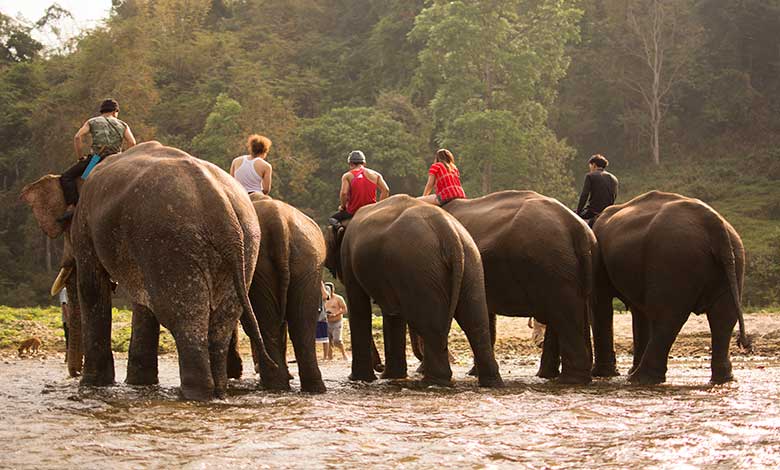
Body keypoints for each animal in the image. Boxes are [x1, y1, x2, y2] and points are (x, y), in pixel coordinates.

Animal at [21, 140, 276, 400]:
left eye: (64, 224)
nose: (72, 374)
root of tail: (222, 209)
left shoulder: (87, 225)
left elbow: (92, 287)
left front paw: (94, 385)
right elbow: (142, 300)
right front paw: (138, 384)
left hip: (172, 244)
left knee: (184, 317)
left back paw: (194, 393)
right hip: (244, 246)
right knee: (221, 320)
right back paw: (217, 392)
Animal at [229, 193, 330, 394]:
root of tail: (279, 221)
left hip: (265, 268)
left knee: (268, 321)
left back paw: (273, 384)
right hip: (308, 262)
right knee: (301, 321)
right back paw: (310, 387)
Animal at [322, 193, 500, 388]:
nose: (379, 366)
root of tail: (449, 233)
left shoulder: (349, 258)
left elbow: (359, 306)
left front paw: (358, 378)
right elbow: (392, 312)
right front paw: (390, 376)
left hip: (419, 269)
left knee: (429, 324)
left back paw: (434, 380)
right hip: (471, 263)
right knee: (475, 321)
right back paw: (490, 381)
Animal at [596, 189, 752, 384]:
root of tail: (713, 222)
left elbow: (601, 302)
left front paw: (604, 374)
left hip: (673, 258)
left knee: (667, 317)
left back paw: (640, 378)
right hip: (733, 259)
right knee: (723, 317)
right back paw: (723, 379)